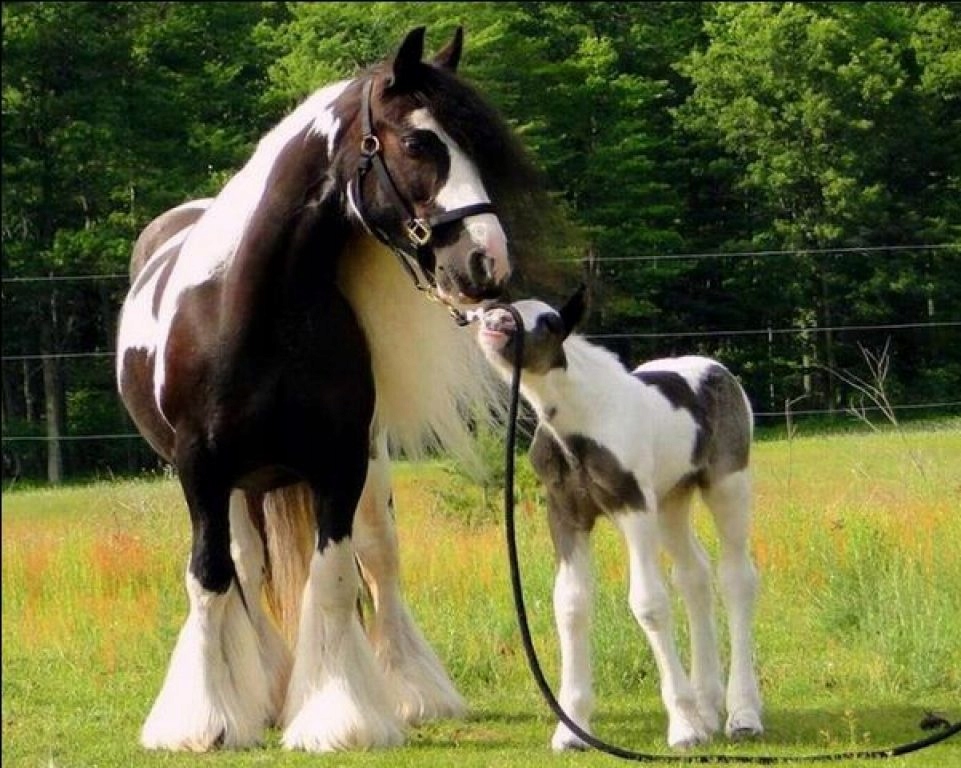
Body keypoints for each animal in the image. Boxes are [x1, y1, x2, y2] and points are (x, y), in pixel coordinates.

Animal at [116, 27, 544, 752]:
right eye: (418, 143)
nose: (486, 262)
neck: (255, 310)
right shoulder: (201, 470)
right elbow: (209, 577)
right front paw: (203, 719)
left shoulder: (340, 463)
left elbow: (338, 578)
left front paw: (338, 716)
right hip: (240, 485)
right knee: (243, 567)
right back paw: (259, 690)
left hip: (362, 468)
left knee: (379, 559)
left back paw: (410, 693)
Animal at [478, 292, 764, 752]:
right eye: (505, 306)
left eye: (550, 322)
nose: (495, 322)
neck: (580, 422)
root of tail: (718, 369)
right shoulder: (565, 514)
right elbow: (571, 604)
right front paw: (571, 730)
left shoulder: (633, 508)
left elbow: (649, 603)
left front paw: (683, 728)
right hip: (671, 500)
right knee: (694, 575)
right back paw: (707, 709)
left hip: (726, 484)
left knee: (736, 577)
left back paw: (742, 715)